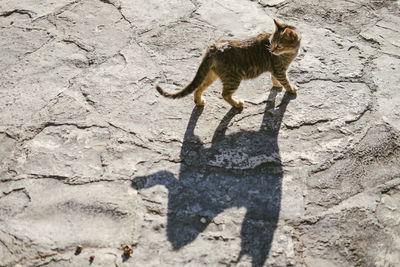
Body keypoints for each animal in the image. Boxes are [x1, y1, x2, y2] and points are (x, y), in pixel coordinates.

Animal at [155, 18, 300, 109]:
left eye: (278, 45)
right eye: (271, 42)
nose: (272, 50)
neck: (290, 53)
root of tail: (213, 47)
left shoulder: (275, 69)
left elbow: (274, 78)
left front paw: (277, 85)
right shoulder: (279, 69)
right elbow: (285, 81)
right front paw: (291, 89)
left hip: (211, 74)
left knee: (198, 88)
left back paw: (199, 101)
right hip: (233, 78)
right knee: (224, 94)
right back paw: (237, 104)